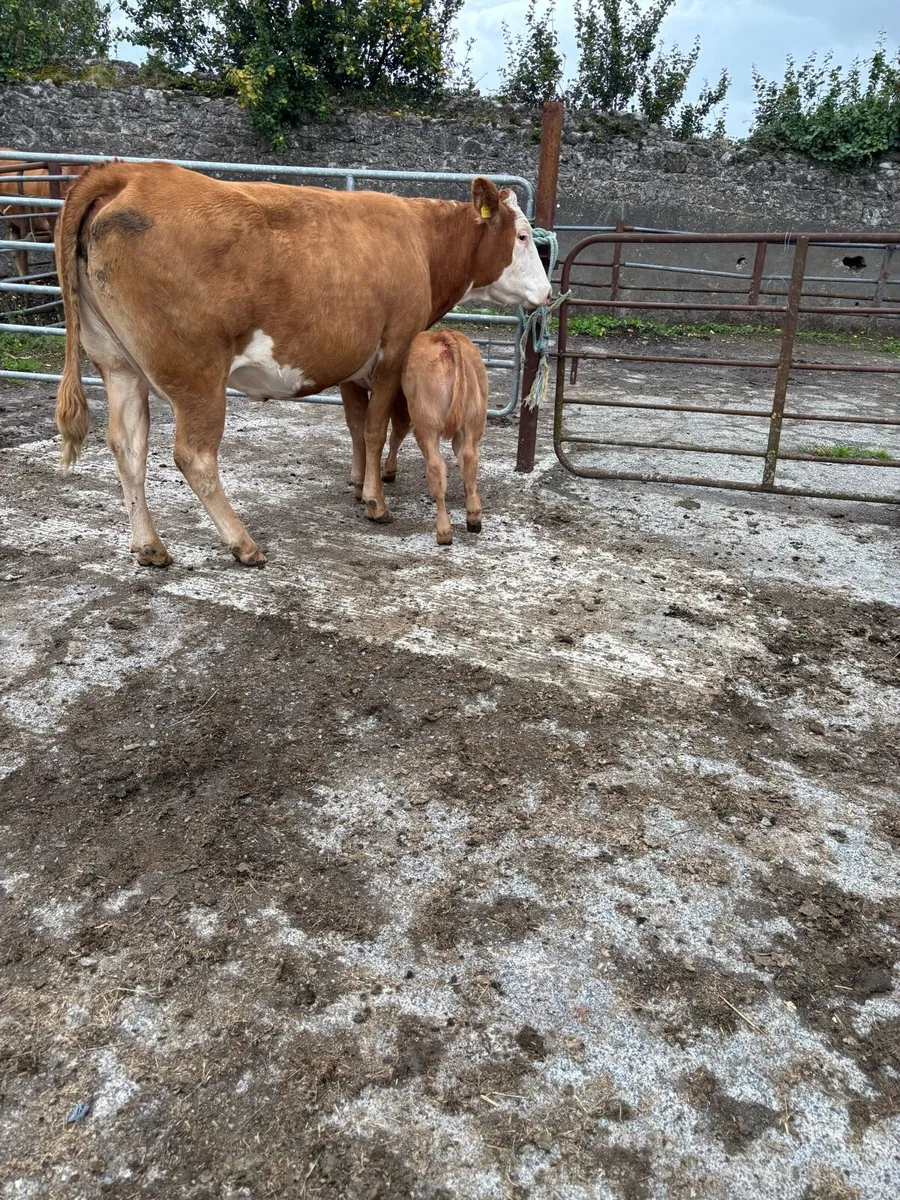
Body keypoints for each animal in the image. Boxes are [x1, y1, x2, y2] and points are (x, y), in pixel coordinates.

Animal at [390, 331, 489, 545]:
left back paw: (444, 531)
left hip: (426, 426)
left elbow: (395, 437)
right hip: (473, 421)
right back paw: (474, 518)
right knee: (469, 459)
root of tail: (444, 337)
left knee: (435, 467)